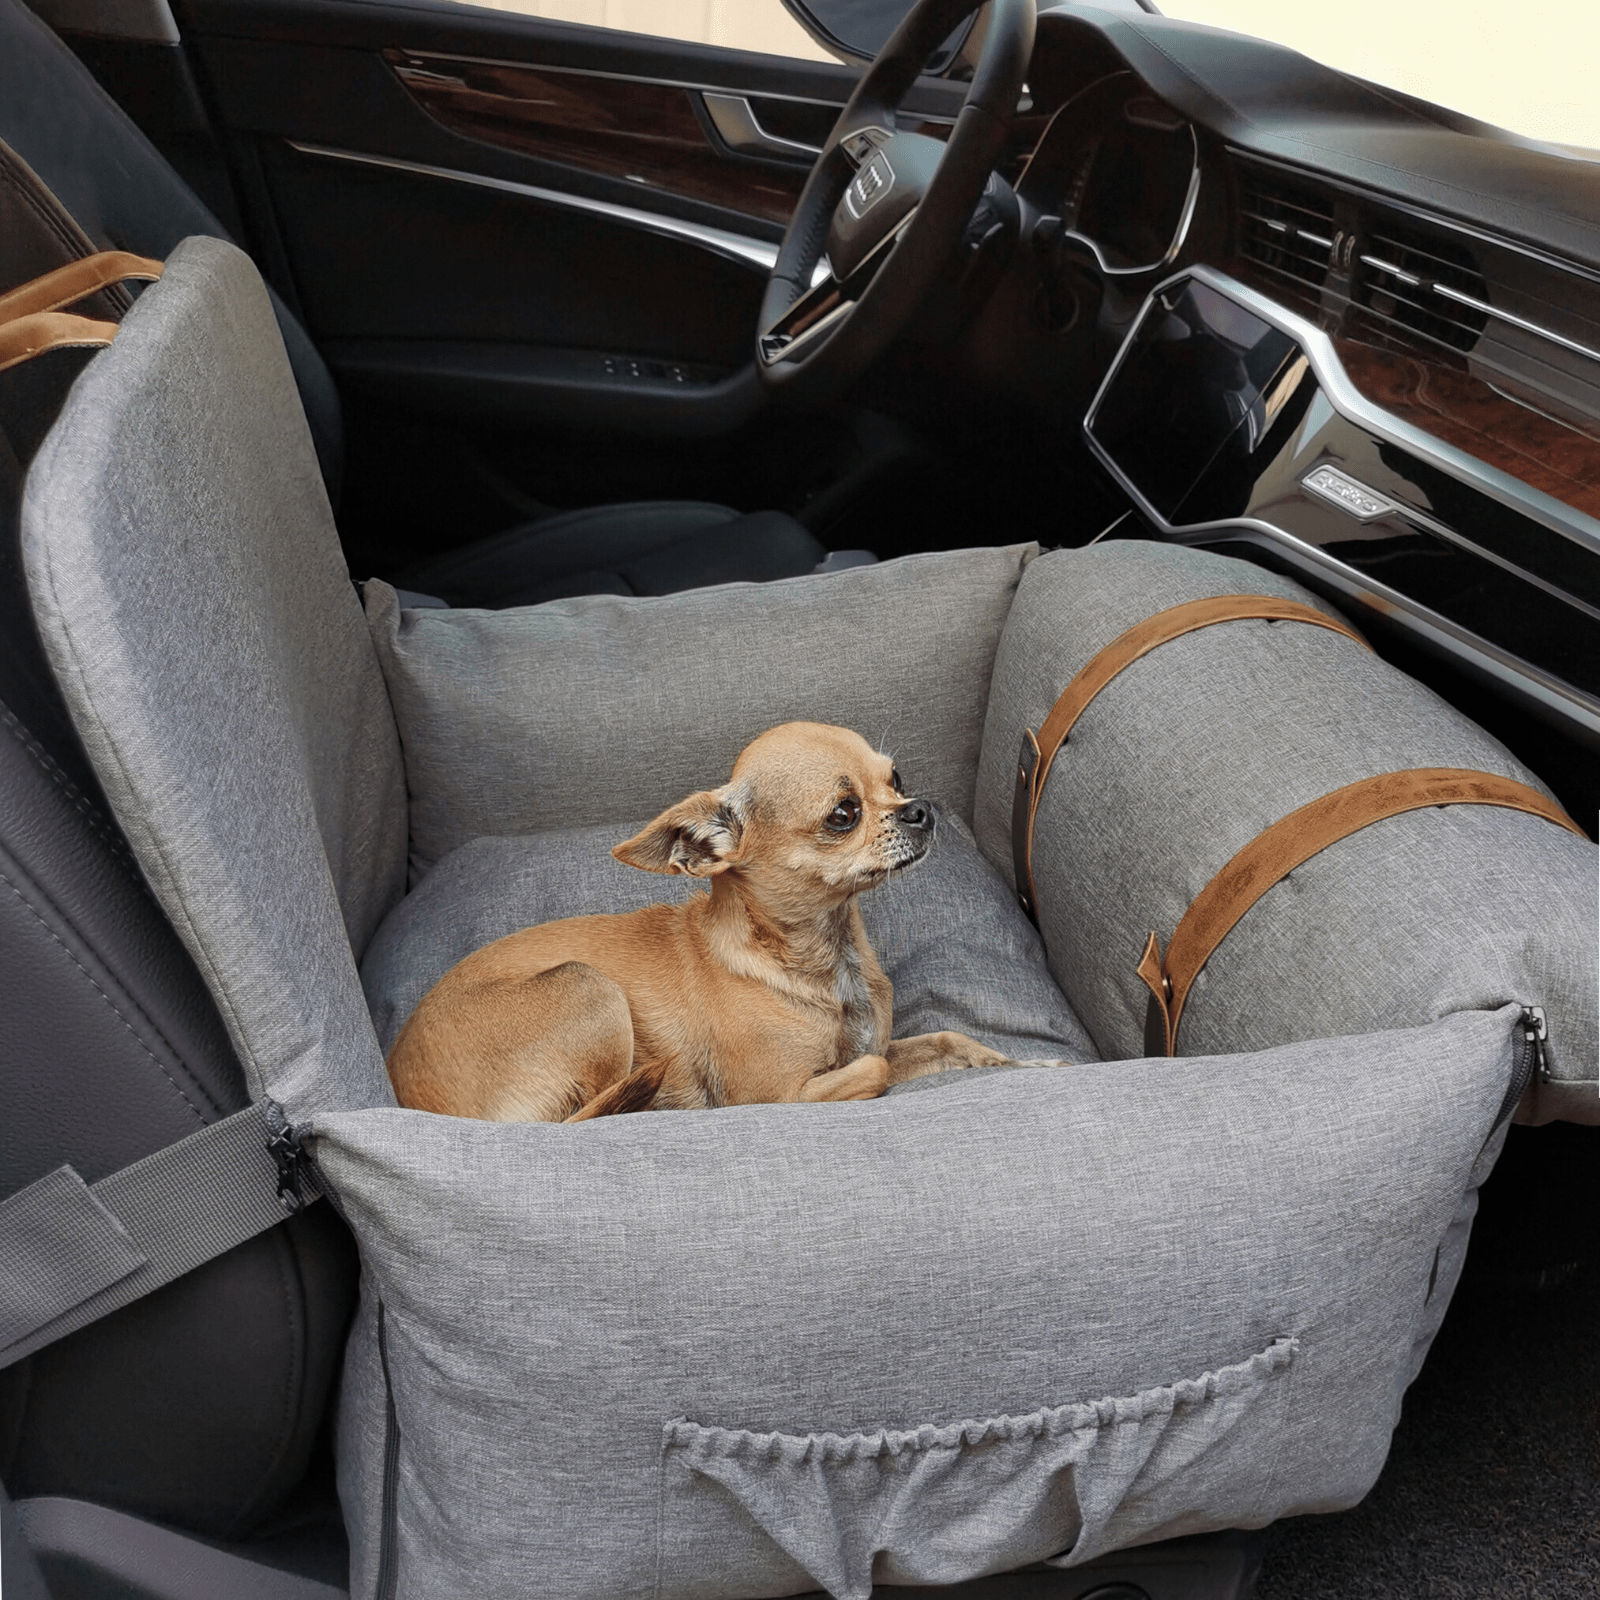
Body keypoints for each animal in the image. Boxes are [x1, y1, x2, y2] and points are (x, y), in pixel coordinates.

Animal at [387, 720, 1004, 1120]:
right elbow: (874, 1069)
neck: (824, 958)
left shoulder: (882, 1043)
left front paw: (1008, 1062)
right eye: (843, 815)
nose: (920, 808)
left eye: (896, 779)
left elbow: (944, 1039)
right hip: (586, 986)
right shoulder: (779, 1097)